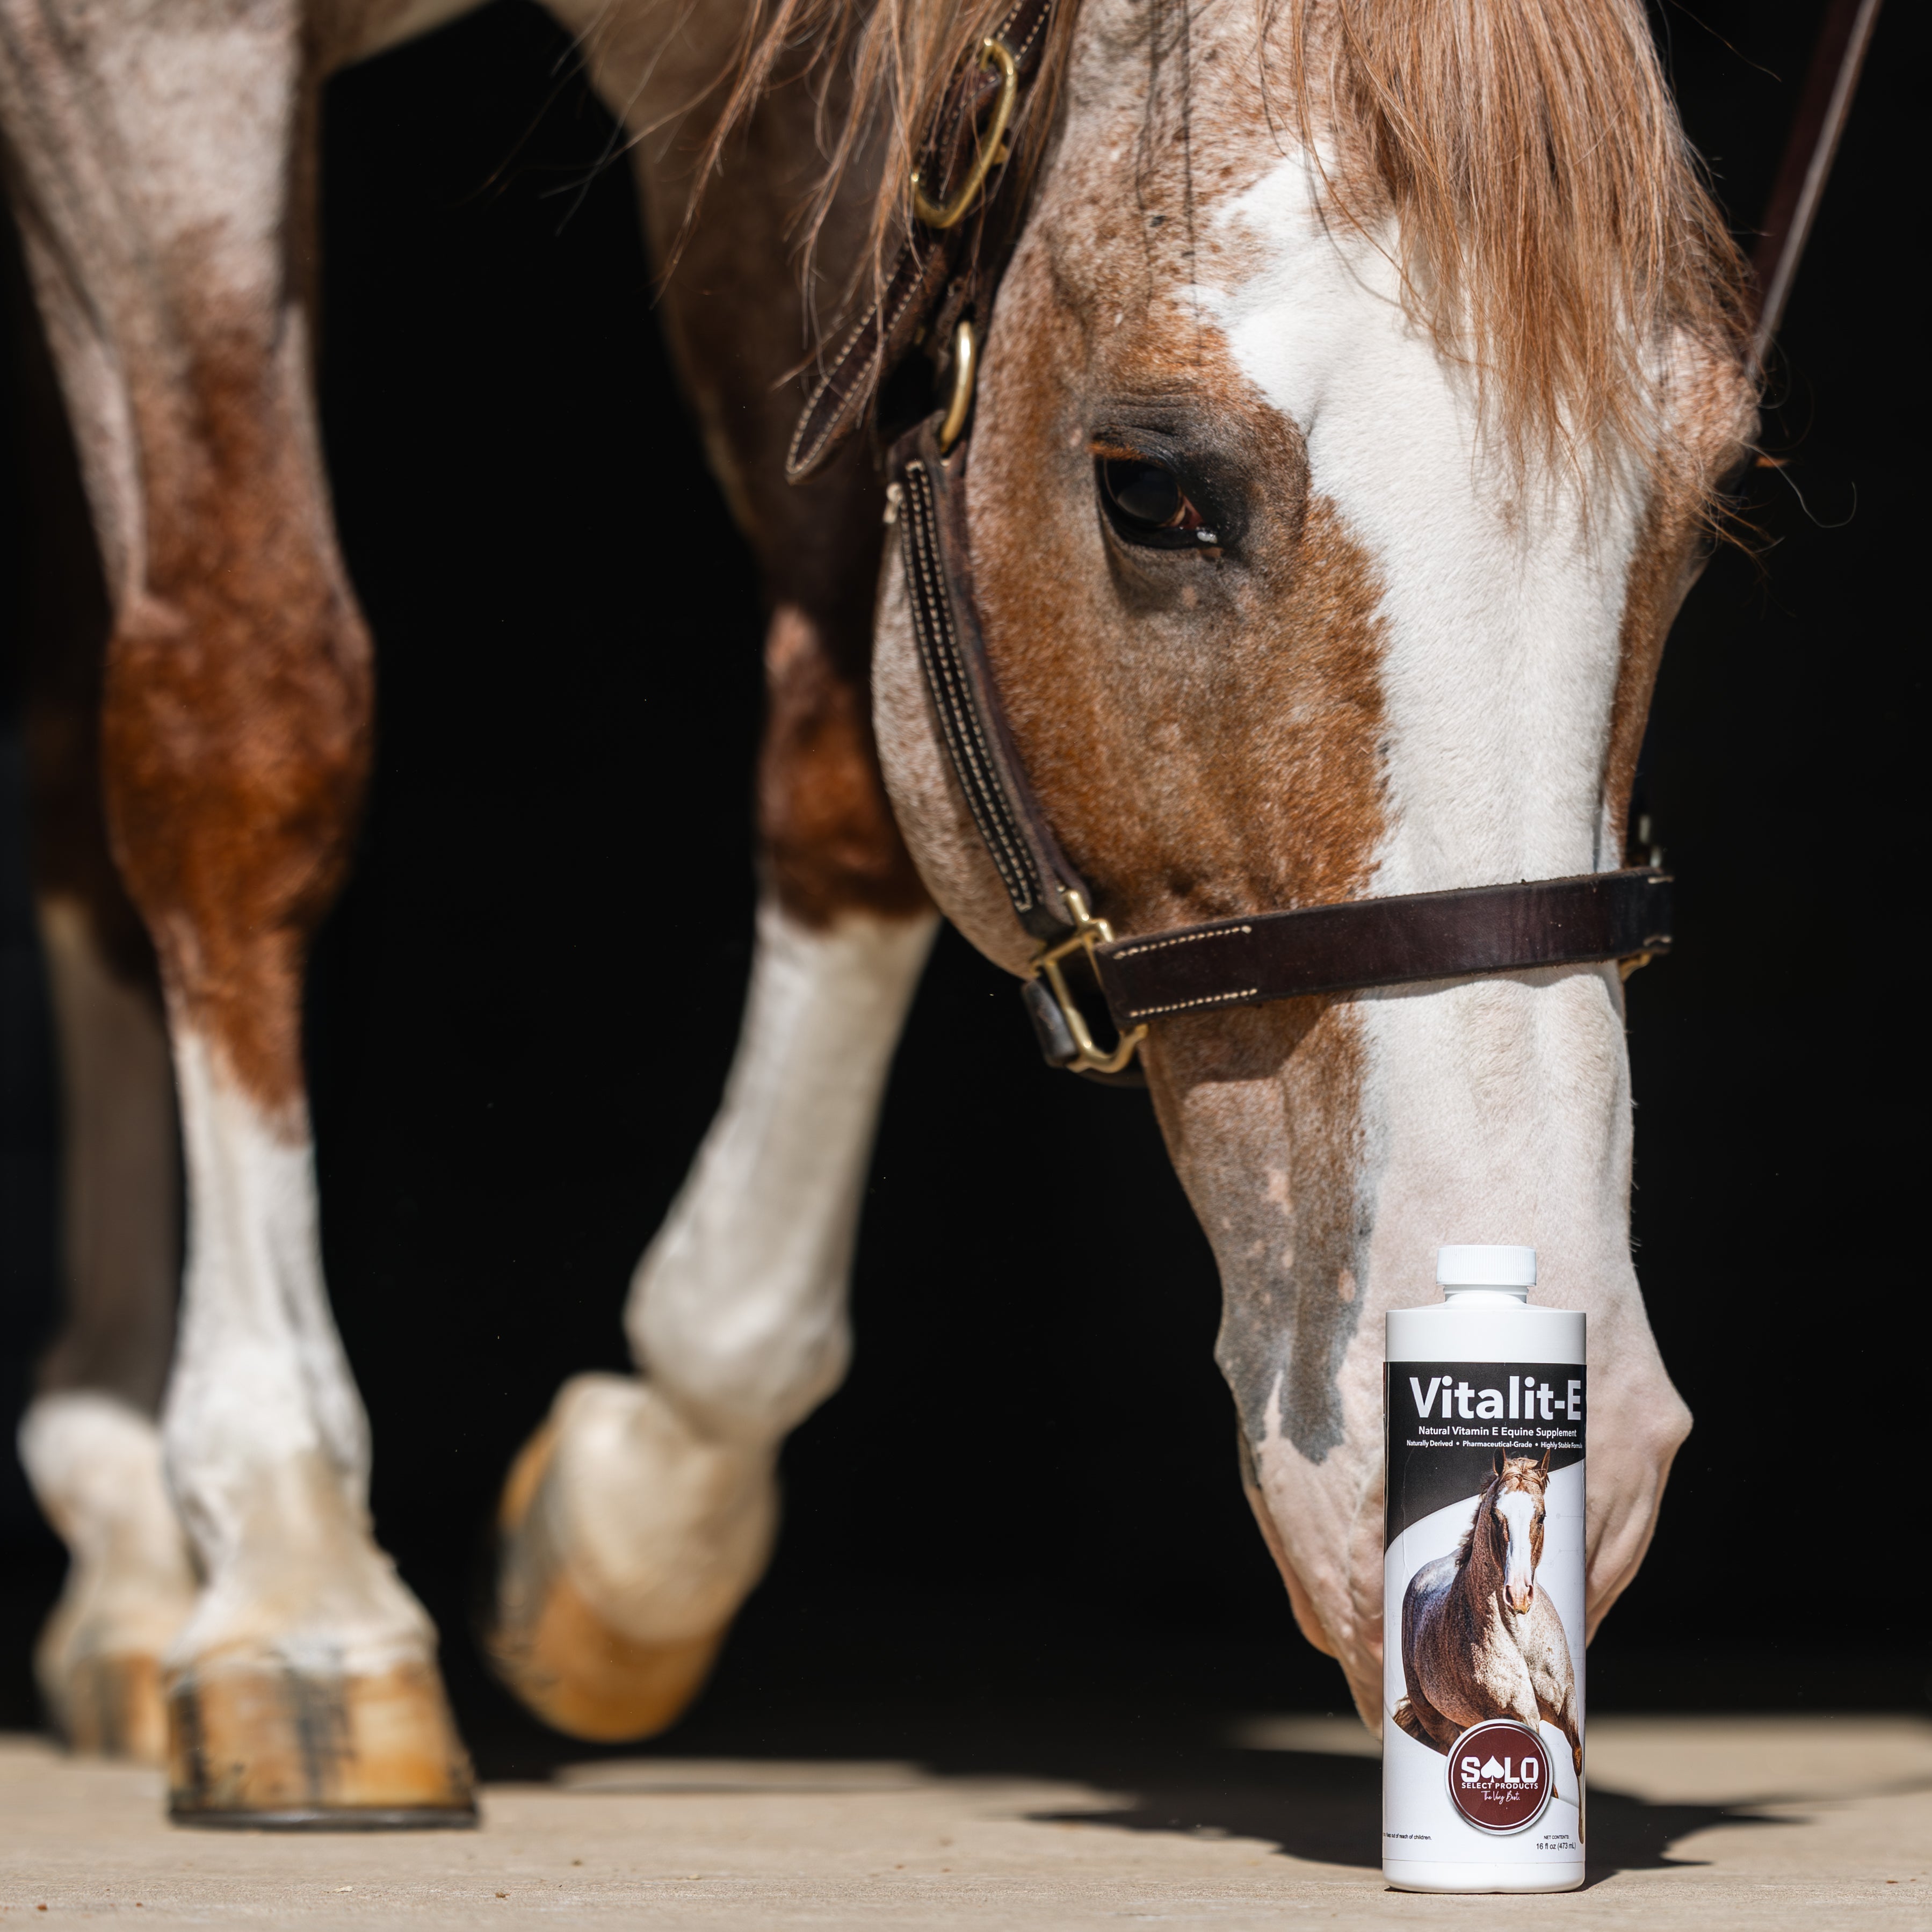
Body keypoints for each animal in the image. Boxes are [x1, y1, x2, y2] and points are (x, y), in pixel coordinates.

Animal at [1392, 1450, 1583, 1775]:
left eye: (1542, 1516)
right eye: (1495, 1515)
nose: (1518, 1594)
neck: (1521, 1639)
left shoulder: (1568, 1707)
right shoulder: (1519, 1719)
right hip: (1440, 1724)